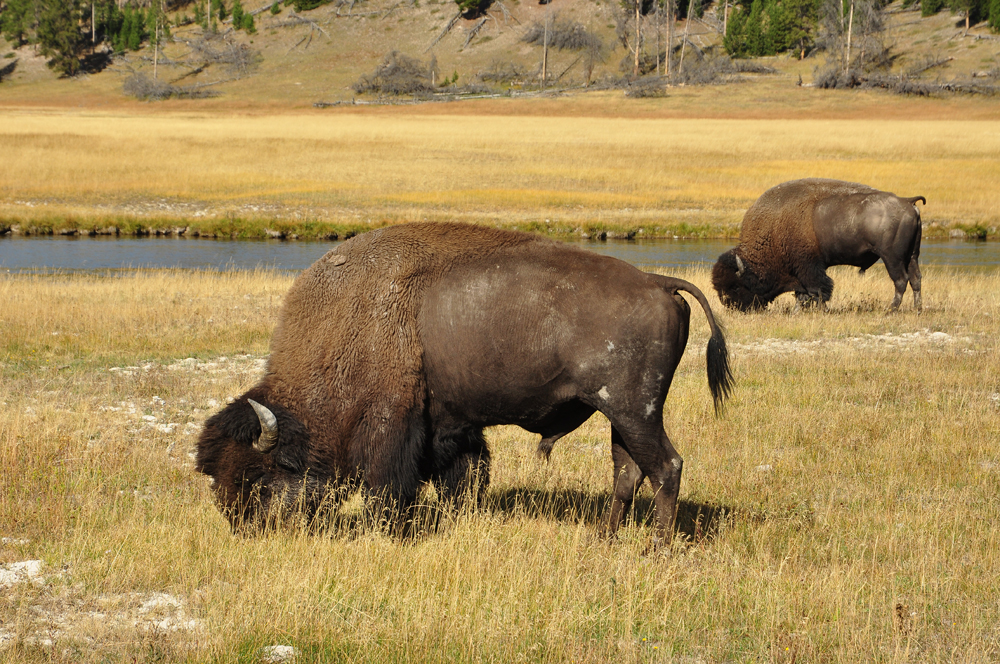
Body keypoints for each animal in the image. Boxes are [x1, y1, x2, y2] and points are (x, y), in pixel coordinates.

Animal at [195, 223, 732, 544]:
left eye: (255, 478)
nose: (243, 530)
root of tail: (658, 282)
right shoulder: (451, 428)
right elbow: (464, 476)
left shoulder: (391, 426)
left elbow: (391, 489)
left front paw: (392, 532)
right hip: (620, 415)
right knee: (628, 470)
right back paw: (602, 538)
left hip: (635, 409)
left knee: (666, 467)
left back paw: (657, 549)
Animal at [716, 179, 924, 314]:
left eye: (735, 286)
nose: (731, 307)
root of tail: (907, 201)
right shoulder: (800, 271)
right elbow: (803, 294)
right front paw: (798, 312)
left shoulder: (809, 268)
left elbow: (818, 290)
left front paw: (821, 310)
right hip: (912, 256)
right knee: (915, 279)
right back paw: (917, 309)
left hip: (892, 257)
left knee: (901, 280)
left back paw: (891, 310)